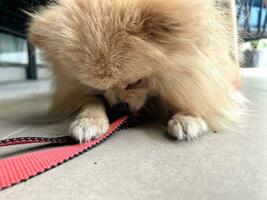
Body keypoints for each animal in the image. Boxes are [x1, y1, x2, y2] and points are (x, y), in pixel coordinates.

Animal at [27, 0, 247, 142]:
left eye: (134, 82)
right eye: (98, 88)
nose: (119, 108)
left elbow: (195, 92)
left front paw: (187, 116)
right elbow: (91, 101)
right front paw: (89, 120)